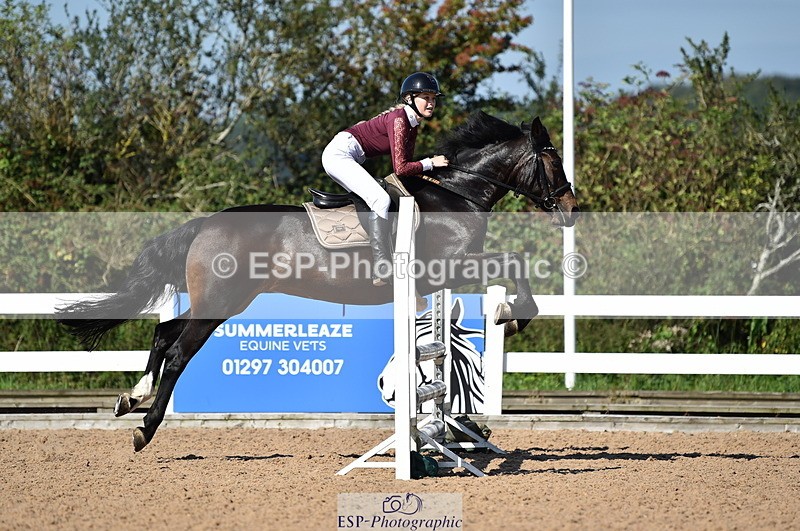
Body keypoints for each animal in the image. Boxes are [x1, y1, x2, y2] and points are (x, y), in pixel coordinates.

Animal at [56, 111, 579, 452]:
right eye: (552, 159)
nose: (572, 209)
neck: (456, 193)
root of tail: (205, 223)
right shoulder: (451, 266)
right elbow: (515, 262)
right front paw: (513, 317)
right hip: (223, 301)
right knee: (180, 350)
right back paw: (145, 428)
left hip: (224, 301)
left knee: (165, 332)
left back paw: (132, 397)